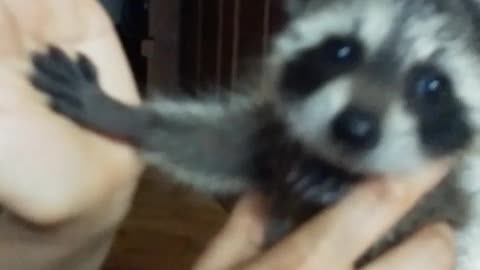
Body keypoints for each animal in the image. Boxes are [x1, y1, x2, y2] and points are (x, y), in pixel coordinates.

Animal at [28, 0, 480, 268]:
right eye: (341, 51)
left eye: (432, 86)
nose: (355, 128)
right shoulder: (271, 134)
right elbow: (217, 144)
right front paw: (125, 116)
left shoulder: (446, 193)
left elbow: (418, 214)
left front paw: (342, 179)